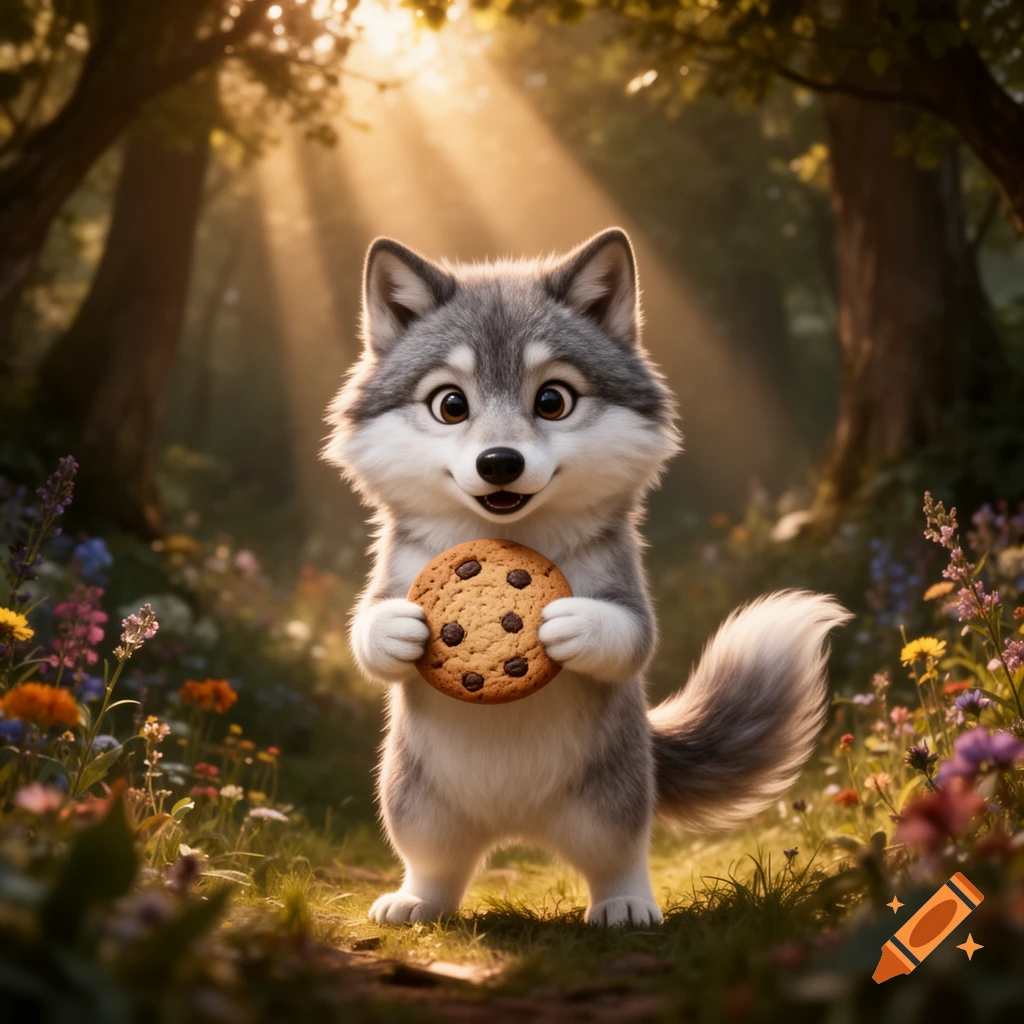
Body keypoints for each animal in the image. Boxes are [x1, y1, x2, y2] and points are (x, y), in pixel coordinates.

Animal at [323, 228, 850, 927]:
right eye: (450, 404)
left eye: (553, 400)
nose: (499, 462)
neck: (515, 535)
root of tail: (517, 824)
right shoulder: (395, 569)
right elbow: (366, 633)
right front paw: (396, 629)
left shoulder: (626, 582)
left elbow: (631, 637)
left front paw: (572, 623)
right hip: (415, 804)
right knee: (438, 867)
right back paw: (416, 902)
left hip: (610, 806)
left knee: (616, 860)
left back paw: (625, 905)